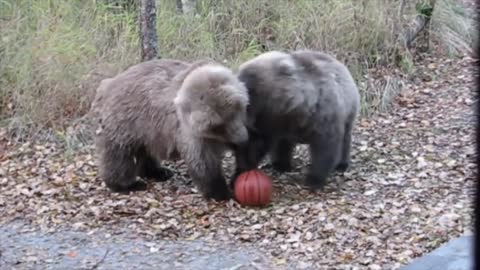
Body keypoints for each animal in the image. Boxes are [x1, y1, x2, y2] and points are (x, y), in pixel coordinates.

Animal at [90, 58, 249, 200]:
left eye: (235, 111)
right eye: (216, 126)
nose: (240, 140)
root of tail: (107, 84)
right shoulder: (190, 133)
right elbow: (203, 162)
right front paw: (221, 192)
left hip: (147, 129)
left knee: (144, 151)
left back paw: (158, 172)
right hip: (126, 121)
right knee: (119, 155)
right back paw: (127, 184)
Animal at [231, 49, 358, 191]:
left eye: (251, 90)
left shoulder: (324, 115)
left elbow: (325, 147)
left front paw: (314, 179)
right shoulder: (270, 123)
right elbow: (255, 146)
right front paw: (238, 174)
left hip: (349, 108)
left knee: (345, 138)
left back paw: (342, 164)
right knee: (283, 144)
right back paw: (281, 164)